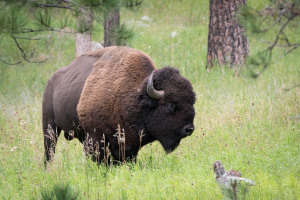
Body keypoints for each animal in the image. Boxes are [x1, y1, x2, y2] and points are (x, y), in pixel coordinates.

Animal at [42, 46, 197, 165]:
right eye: (170, 105)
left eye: (192, 102)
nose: (189, 129)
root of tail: (50, 81)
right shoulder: (95, 139)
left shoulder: (129, 145)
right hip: (49, 126)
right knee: (49, 150)